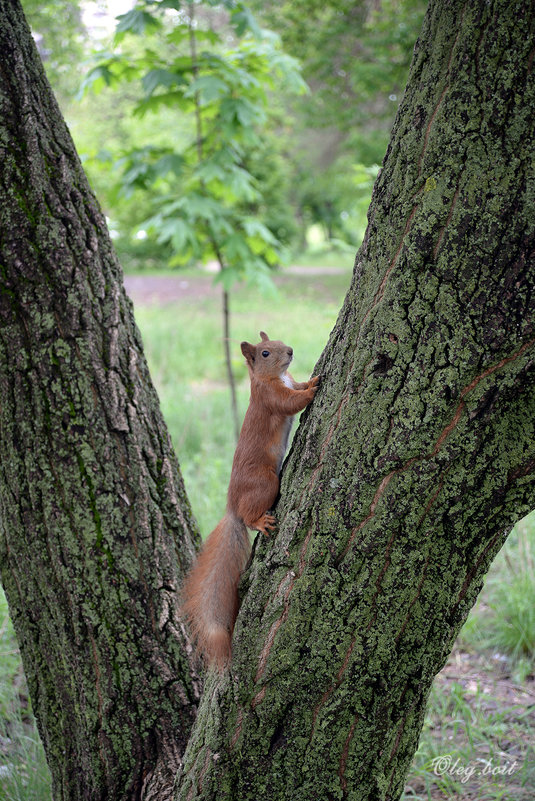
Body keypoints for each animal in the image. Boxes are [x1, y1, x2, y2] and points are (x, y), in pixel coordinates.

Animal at [182, 328, 320, 664]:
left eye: (279, 341)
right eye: (265, 353)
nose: (291, 351)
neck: (273, 378)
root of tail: (231, 506)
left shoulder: (287, 381)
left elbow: (296, 385)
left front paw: (310, 379)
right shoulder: (270, 398)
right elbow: (290, 402)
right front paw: (312, 390)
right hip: (266, 483)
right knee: (248, 515)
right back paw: (258, 521)